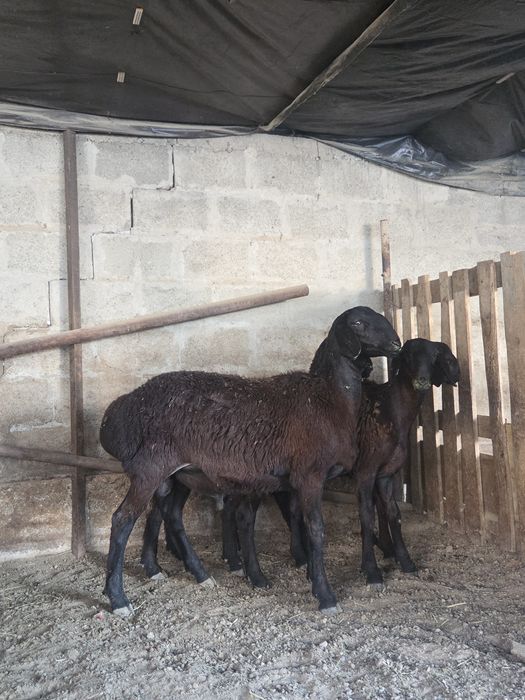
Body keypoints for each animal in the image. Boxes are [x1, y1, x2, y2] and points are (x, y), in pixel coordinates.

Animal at [99, 306, 400, 615]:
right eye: (358, 322)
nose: (396, 343)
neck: (331, 399)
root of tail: (120, 410)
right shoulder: (310, 476)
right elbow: (316, 530)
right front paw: (326, 595)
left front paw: (306, 576)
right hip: (150, 468)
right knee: (123, 520)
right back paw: (118, 598)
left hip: (181, 473)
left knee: (169, 514)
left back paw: (197, 574)